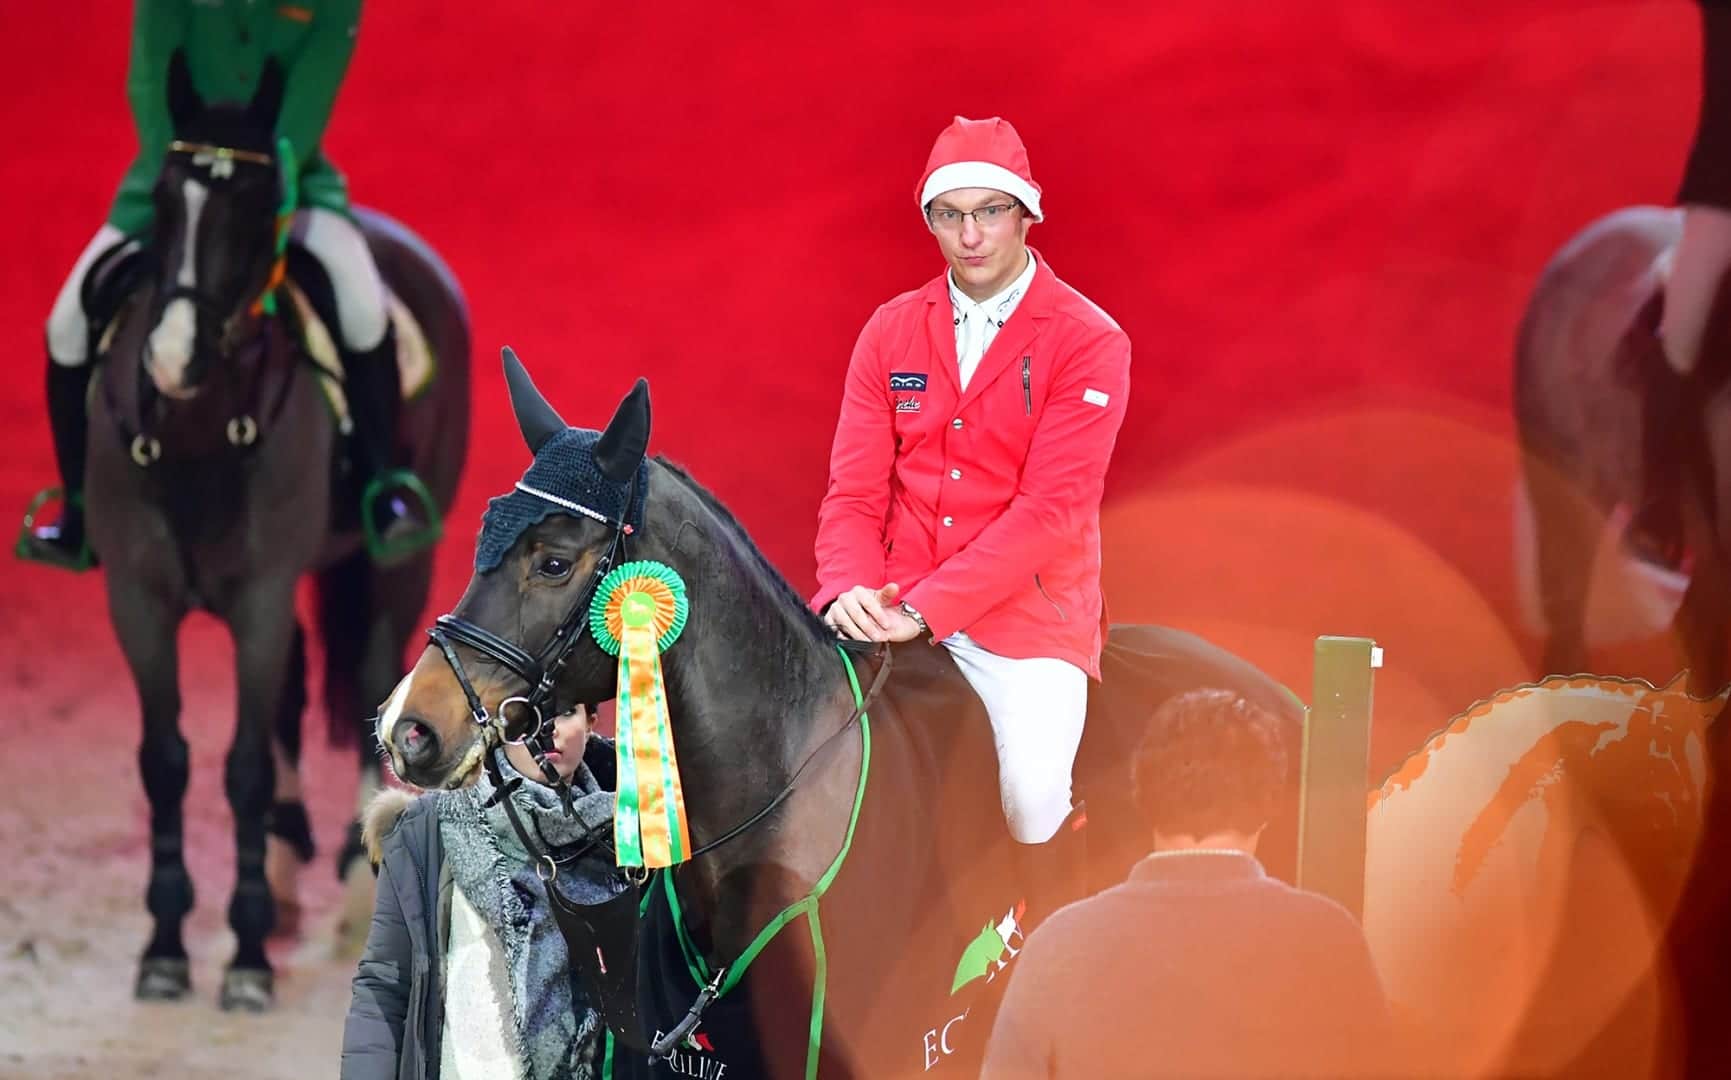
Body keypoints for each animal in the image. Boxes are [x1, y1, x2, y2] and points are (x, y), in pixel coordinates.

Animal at [60, 58, 467, 1010]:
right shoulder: (140, 599)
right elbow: (167, 761)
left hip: (394, 564)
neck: (196, 430)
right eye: (162, 201)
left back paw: (351, 892)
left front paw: (243, 958)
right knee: (288, 693)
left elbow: (240, 765)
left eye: (255, 209)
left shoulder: (259, 600)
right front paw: (167, 947)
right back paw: (281, 877)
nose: (173, 357)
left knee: (373, 677)